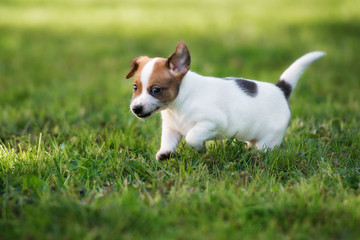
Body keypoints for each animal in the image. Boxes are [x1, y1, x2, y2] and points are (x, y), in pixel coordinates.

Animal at [127, 40, 326, 160]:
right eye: (135, 87)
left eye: (156, 90)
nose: (135, 109)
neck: (178, 103)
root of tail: (281, 90)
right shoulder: (171, 128)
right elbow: (167, 141)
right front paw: (164, 154)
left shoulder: (211, 122)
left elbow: (192, 136)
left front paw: (201, 150)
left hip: (269, 140)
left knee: (264, 149)